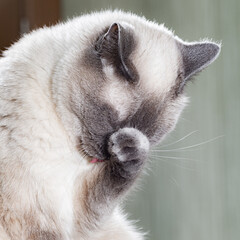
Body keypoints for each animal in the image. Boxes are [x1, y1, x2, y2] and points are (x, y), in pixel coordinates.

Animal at [0, 9, 220, 240]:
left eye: (151, 134)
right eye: (109, 120)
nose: (106, 155)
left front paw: (130, 149)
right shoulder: (35, 215)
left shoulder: (77, 217)